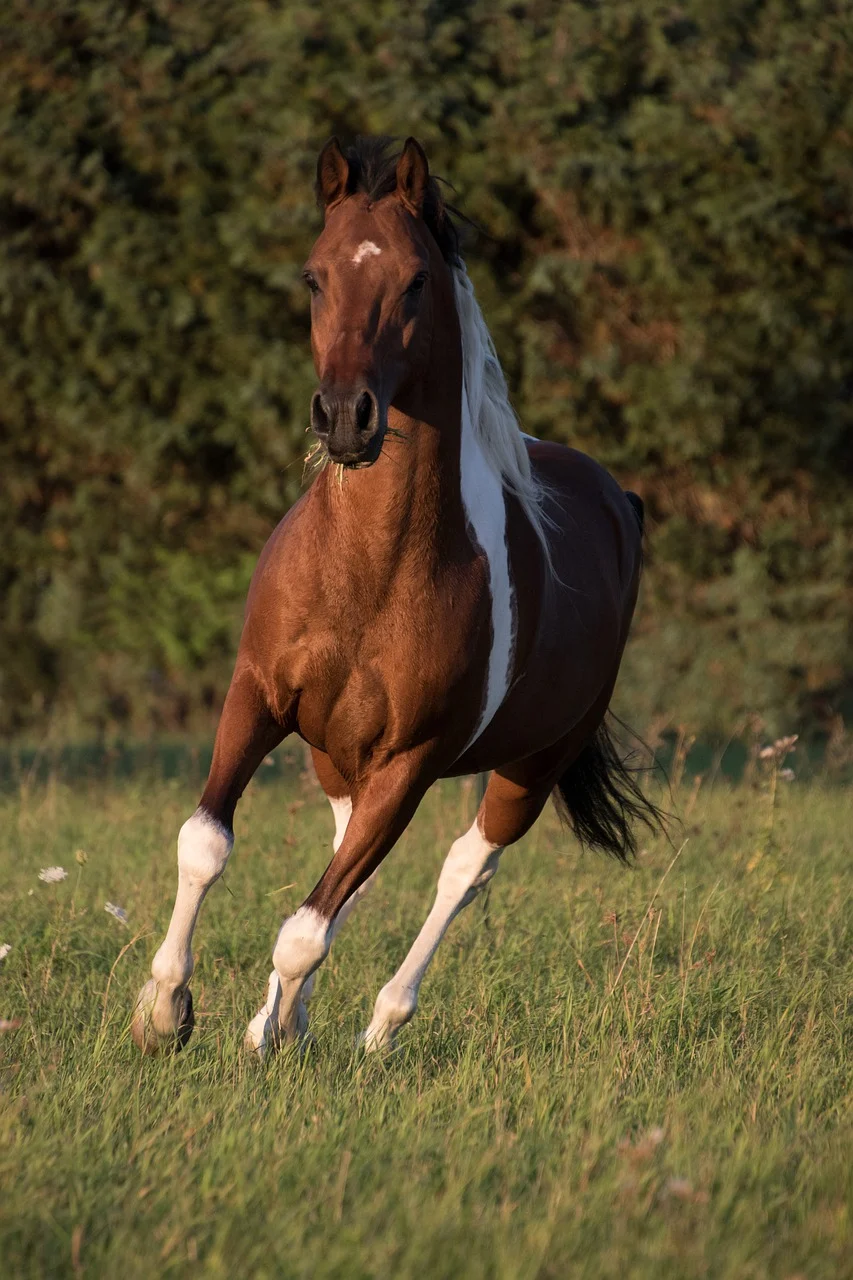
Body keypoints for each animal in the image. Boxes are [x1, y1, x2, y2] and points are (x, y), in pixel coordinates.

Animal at [131, 135, 660, 1058]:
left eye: (414, 280)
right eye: (313, 276)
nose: (346, 417)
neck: (367, 573)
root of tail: (616, 500)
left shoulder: (410, 763)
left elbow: (306, 928)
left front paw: (260, 1028)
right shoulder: (258, 696)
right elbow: (206, 844)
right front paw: (167, 1011)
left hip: (529, 765)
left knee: (462, 871)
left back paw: (377, 1027)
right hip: (337, 755)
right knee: (351, 865)